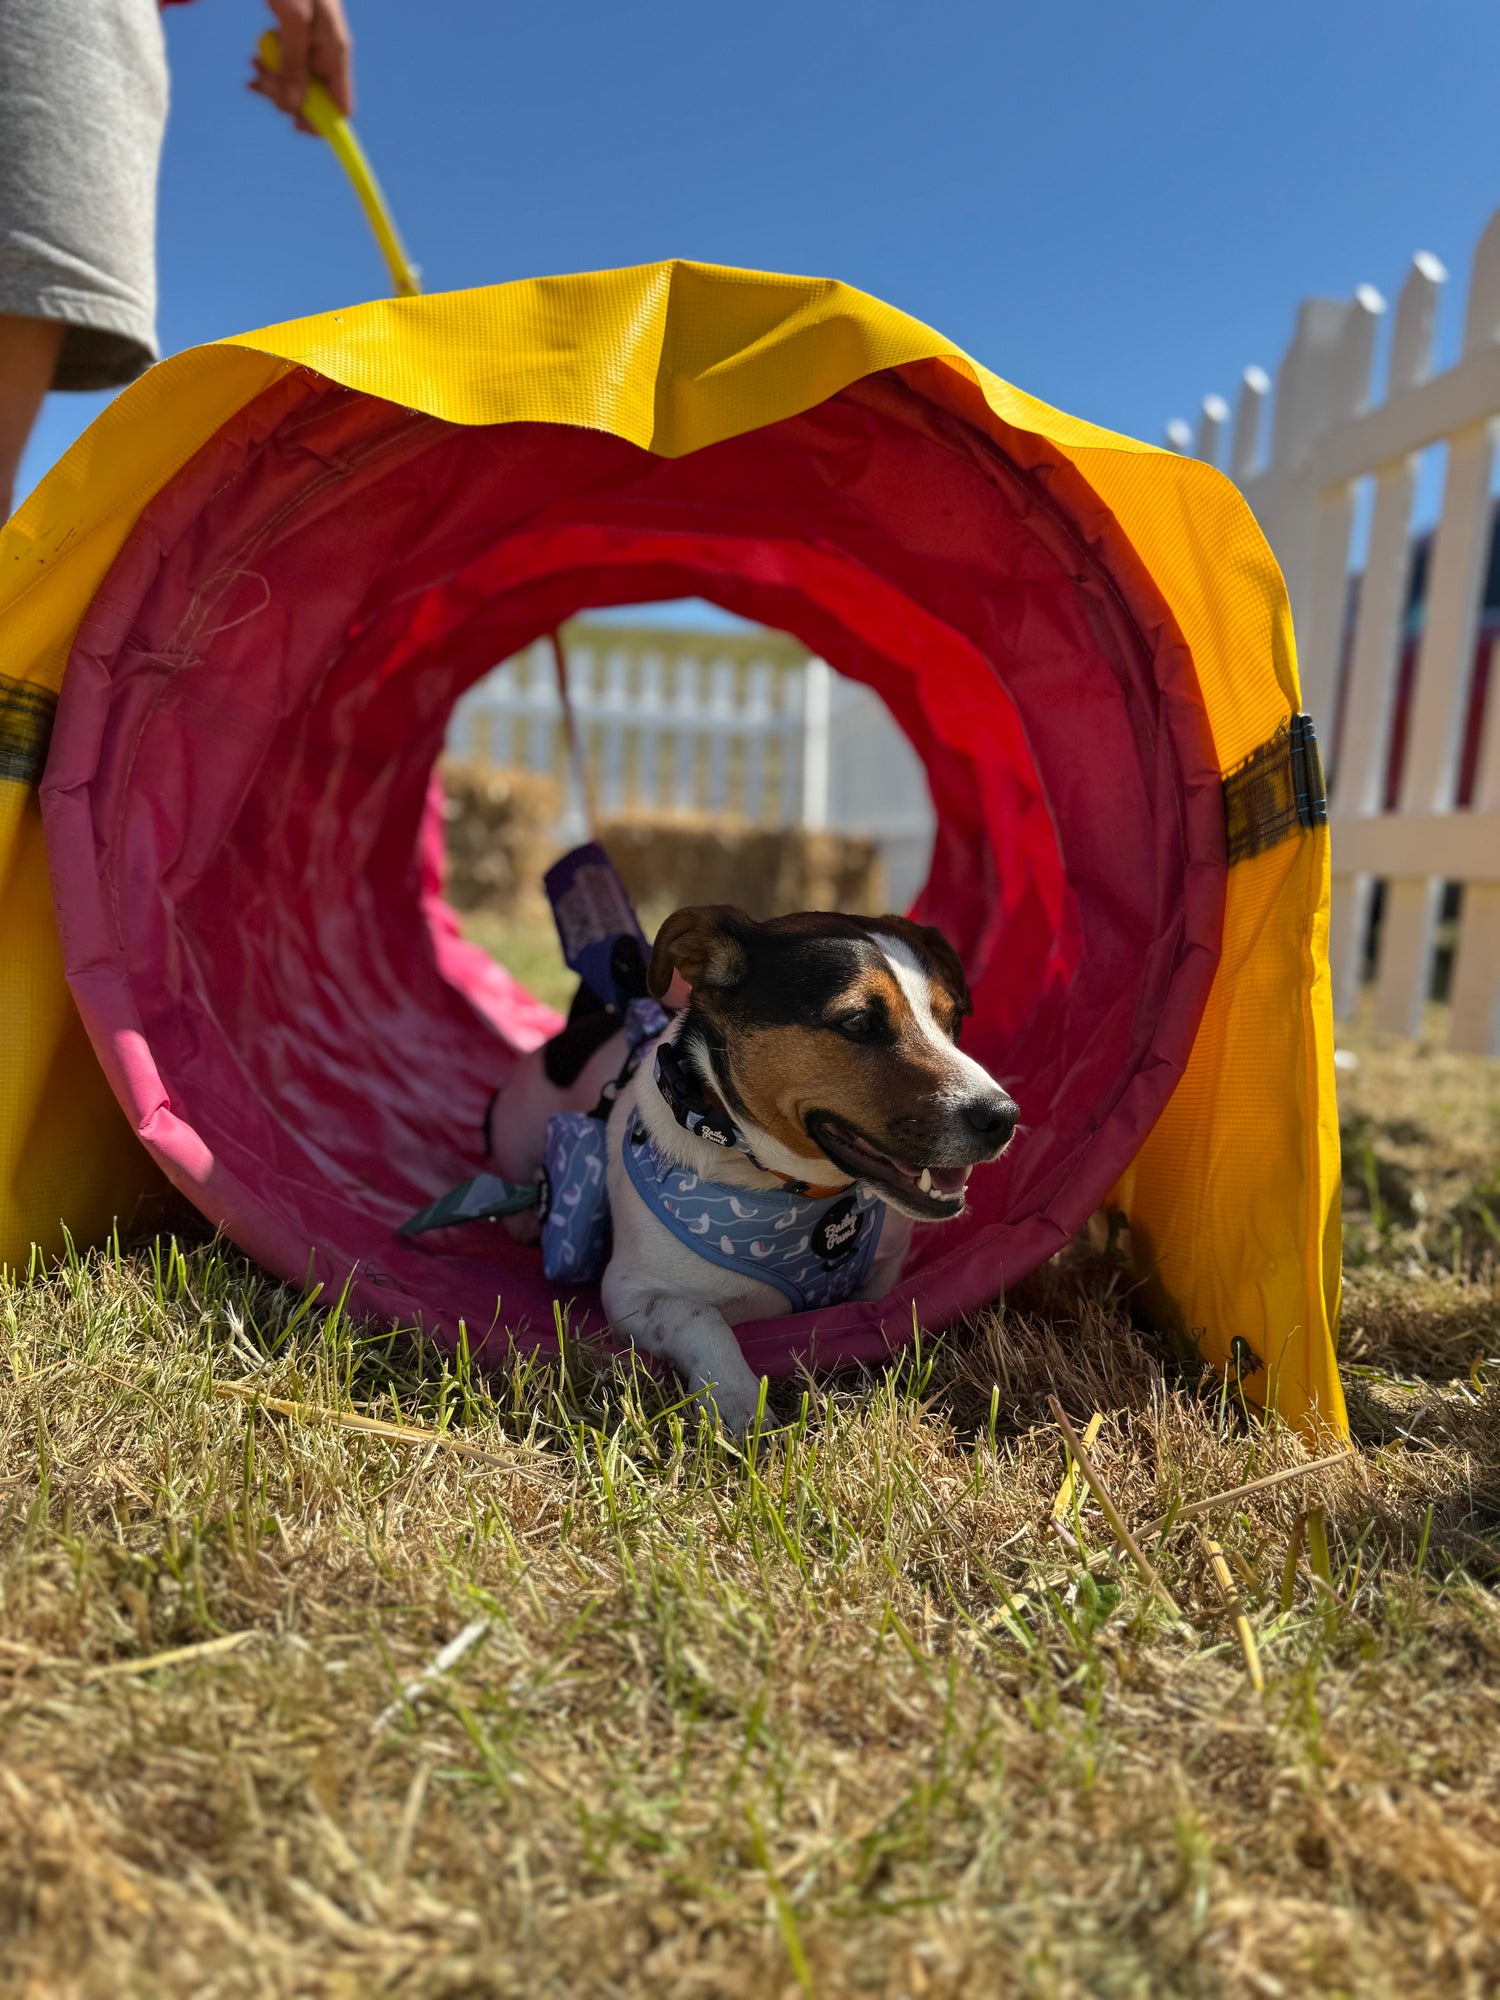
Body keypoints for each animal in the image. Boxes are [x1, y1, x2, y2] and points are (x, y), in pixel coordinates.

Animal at [488, 905, 1017, 1431]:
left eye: (953, 1021)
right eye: (859, 1021)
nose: (1003, 1117)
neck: (798, 1189)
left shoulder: (882, 1271)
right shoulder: (632, 1293)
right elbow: (702, 1320)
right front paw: (738, 1403)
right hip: (517, 1129)